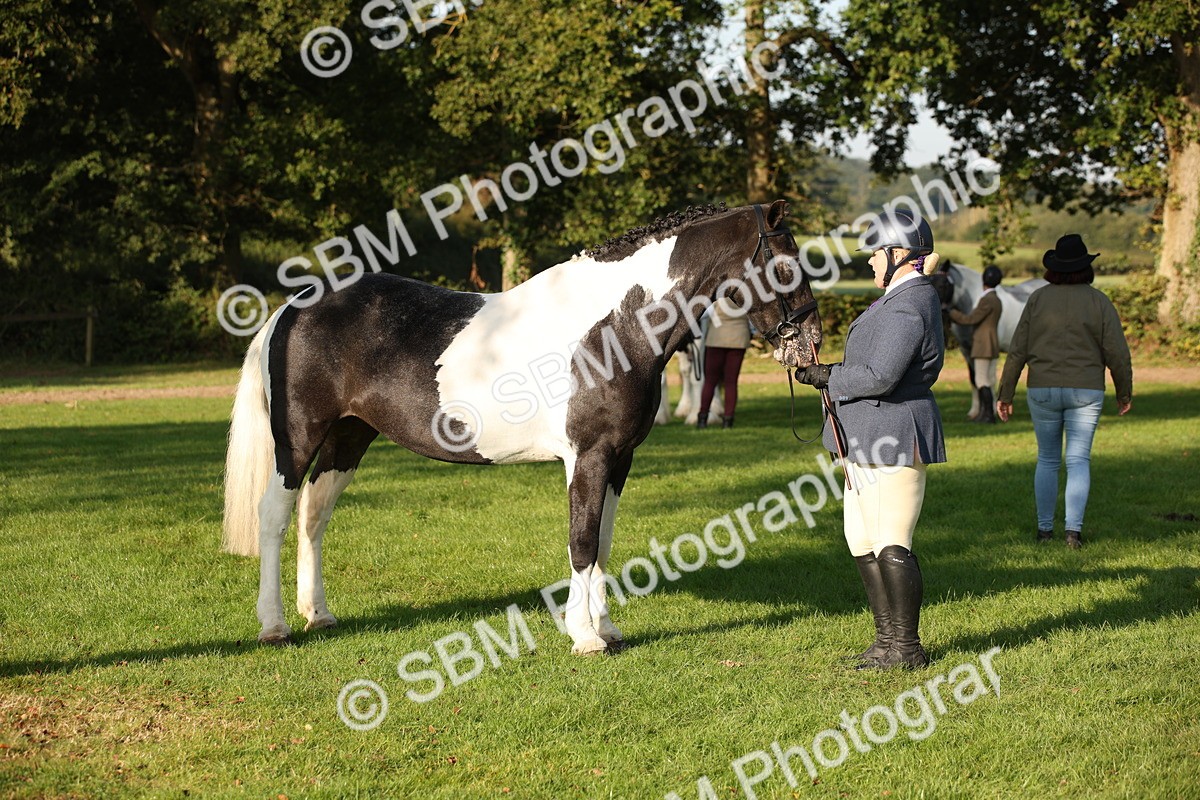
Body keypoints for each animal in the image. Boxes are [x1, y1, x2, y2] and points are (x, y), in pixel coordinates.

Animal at [222, 200, 822, 655]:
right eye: (786, 264)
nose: (810, 342)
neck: (614, 326)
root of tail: (294, 308)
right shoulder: (588, 455)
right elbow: (582, 541)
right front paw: (585, 637)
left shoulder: (619, 459)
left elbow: (603, 541)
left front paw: (607, 628)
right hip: (298, 439)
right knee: (274, 517)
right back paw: (274, 625)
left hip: (348, 438)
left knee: (313, 517)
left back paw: (318, 614)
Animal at [932, 262, 1047, 418]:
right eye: (930, 280)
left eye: (944, 284)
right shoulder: (967, 351)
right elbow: (974, 380)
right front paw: (974, 412)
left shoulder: (992, 352)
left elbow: (990, 380)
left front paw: (992, 411)